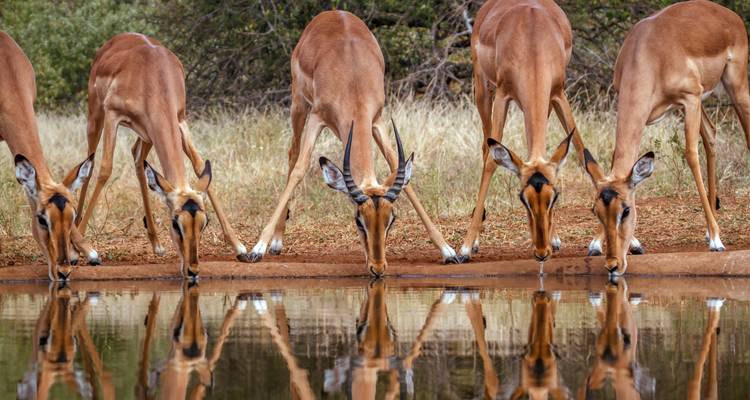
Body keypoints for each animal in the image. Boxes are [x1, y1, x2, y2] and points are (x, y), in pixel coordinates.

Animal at [76, 33, 250, 279]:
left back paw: (156, 243)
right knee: (89, 164)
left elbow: (199, 166)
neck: (152, 76)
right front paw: (84, 251)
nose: (192, 268)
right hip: (96, 116)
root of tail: (117, 39)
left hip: (148, 134)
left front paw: (240, 247)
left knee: (138, 159)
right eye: (176, 223)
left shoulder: (180, 120)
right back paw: (77, 235)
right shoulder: (113, 115)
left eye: (204, 222)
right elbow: (105, 169)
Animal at [248, 10, 461, 274]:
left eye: (391, 220)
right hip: (298, 103)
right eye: (358, 220)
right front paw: (257, 248)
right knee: (293, 156)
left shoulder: (377, 121)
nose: (377, 267)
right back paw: (276, 242)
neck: (353, 79)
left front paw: (448, 250)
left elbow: (399, 170)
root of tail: (331, 12)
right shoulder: (317, 118)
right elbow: (300, 169)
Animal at [461, 0, 584, 264]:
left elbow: (580, 148)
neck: (532, 41)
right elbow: (491, 161)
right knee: (485, 148)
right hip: (483, 91)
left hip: (543, 105)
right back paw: (474, 243)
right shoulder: (502, 95)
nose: (541, 252)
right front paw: (464, 248)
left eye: (554, 196)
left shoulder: (558, 93)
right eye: (522, 198)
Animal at [582, 0, 750, 275]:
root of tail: (728, 13)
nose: (613, 264)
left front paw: (717, 241)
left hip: (733, 86)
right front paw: (599, 243)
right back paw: (709, 227)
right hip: (700, 104)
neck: (648, 55)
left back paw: (714, 232)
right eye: (595, 209)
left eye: (626, 211)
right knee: (711, 134)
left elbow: (691, 155)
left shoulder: (689, 99)